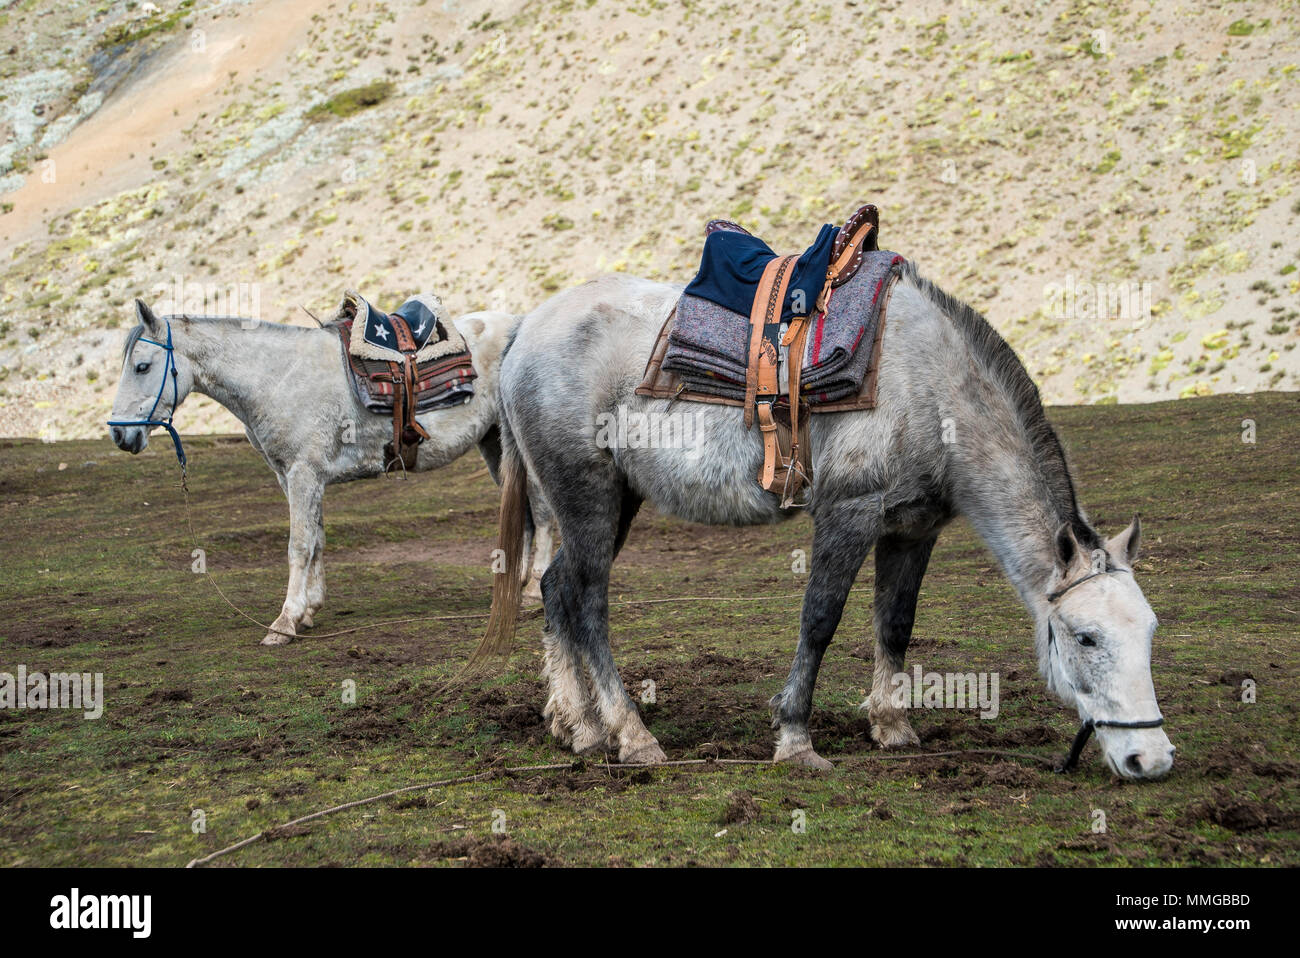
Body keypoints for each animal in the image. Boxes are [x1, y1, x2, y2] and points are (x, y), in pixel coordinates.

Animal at [110, 298, 553, 642]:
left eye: (143, 366)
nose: (119, 434)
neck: (277, 378)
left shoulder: (303, 474)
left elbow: (299, 545)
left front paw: (284, 622)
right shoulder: (295, 477)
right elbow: (318, 540)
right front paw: (309, 610)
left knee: (543, 513)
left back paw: (533, 590)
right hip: (495, 444)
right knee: (524, 515)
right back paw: (513, 585)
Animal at [475, 267, 1180, 779]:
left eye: (1148, 630)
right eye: (1086, 638)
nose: (1151, 759)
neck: (932, 386)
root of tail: (523, 333)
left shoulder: (912, 528)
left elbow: (896, 623)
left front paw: (893, 726)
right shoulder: (850, 512)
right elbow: (820, 619)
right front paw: (796, 740)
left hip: (612, 502)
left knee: (557, 589)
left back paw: (579, 727)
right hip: (588, 498)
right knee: (588, 601)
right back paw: (631, 735)